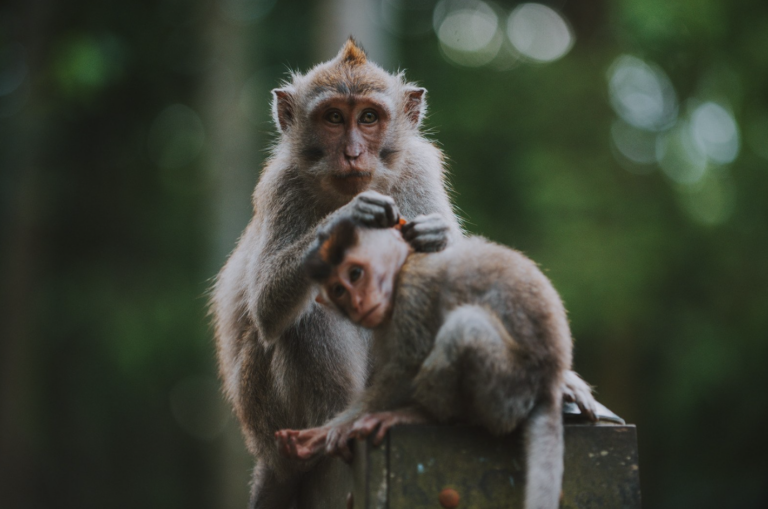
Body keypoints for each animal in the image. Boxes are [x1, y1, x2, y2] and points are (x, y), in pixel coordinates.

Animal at [276, 216, 573, 509]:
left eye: (355, 274)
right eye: (338, 290)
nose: (357, 303)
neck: (403, 268)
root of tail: (549, 383)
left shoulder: (412, 296)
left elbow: (406, 369)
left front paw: (339, 429)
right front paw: (322, 434)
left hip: (509, 393)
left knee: (464, 327)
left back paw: (423, 414)